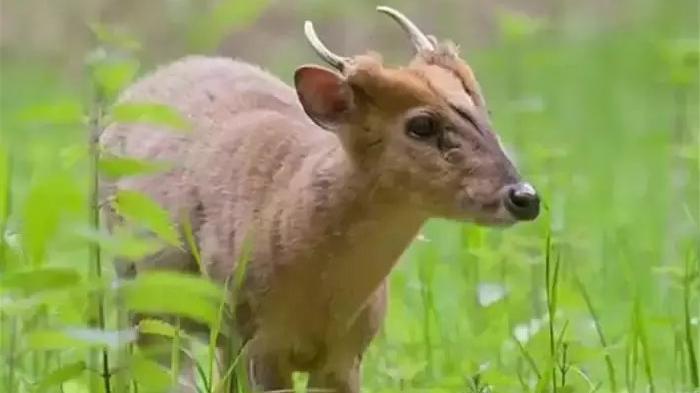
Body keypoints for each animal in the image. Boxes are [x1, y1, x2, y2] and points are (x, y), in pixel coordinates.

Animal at [100, 4, 540, 390]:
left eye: (483, 111)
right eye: (421, 125)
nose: (525, 197)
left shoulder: (347, 355)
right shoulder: (254, 341)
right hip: (134, 289)